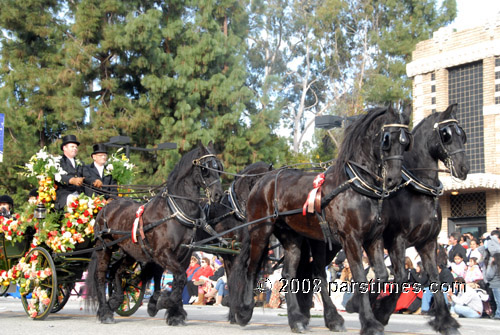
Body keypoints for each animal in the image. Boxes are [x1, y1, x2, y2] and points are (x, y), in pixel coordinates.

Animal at [85, 144, 223, 326]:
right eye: (205, 169)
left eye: (219, 168)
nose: (218, 195)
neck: (174, 211)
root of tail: (106, 207)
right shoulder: (162, 253)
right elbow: (180, 277)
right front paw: (163, 302)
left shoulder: (184, 255)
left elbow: (180, 280)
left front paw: (174, 313)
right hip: (104, 248)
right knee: (100, 276)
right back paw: (105, 312)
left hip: (130, 252)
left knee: (116, 271)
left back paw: (115, 300)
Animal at [229, 105, 412, 335]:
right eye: (386, 139)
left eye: (405, 142)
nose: (393, 179)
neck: (356, 186)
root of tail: (263, 181)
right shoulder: (351, 239)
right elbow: (360, 277)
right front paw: (369, 321)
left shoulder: (374, 238)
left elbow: (381, 275)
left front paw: (367, 311)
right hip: (260, 232)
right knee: (251, 268)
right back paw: (244, 311)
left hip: (293, 238)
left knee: (290, 273)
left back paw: (299, 319)